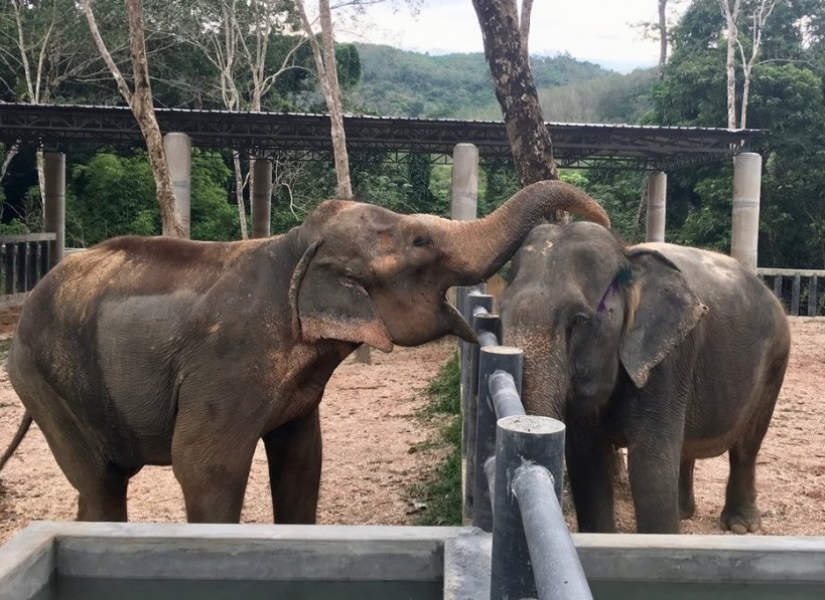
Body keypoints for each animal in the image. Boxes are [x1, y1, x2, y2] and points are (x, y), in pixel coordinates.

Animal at [0, 180, 609, 525]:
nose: (599, 220)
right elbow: (205, 466)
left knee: (97, 484)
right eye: (420, 243)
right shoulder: (227, 362)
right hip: (42, 378)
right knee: (101, 481)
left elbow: (302, 461)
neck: (294, 247)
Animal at [498, 221, 791, 534]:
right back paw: (684, 513)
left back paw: (740, 526)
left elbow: (649, 469)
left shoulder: (666, 364)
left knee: (748, 446)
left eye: (578, 320)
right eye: (500, 312)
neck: (626, 254)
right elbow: (586, 461)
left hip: (776, 361)